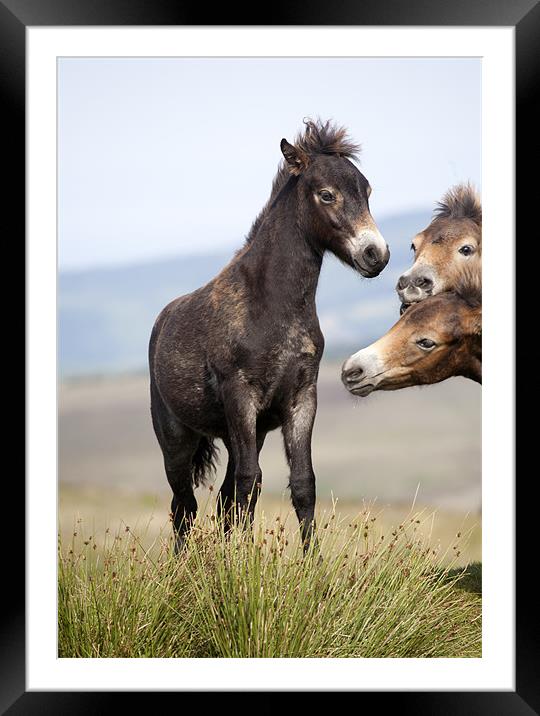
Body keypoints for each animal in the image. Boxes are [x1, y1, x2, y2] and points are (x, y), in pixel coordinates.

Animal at [150, 120, 390, 552]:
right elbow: (249, 482)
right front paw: (242, 564)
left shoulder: (301, 399)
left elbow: (301, 483)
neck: (271, 304)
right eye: (326, 194)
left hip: (239, 434)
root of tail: (161, 323)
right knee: (184, 504)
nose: (375, 254)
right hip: (176, 437)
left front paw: (311, 565)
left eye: (367, 191)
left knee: (218, 500)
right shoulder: (241, 397)